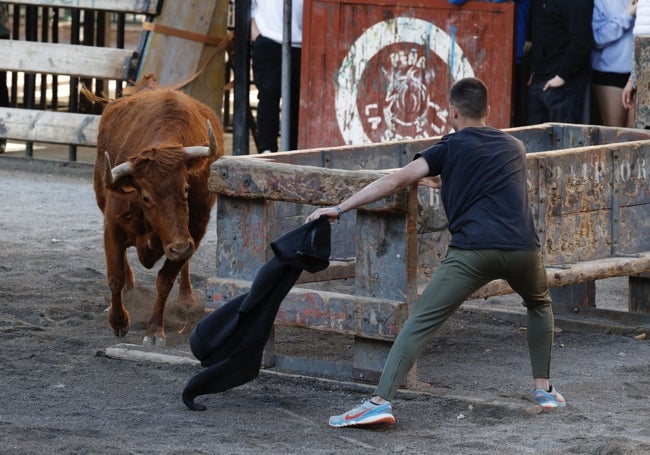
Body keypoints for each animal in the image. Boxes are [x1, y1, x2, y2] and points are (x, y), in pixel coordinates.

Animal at [91, 76, 223, 346]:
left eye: (186, 188)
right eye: (145, 197)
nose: (180, 247)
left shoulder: (194, 232)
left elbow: (165, 279)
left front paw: (153, 331)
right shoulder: (112, 224)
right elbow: (115, 275)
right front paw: (118, 321)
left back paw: (186, 299)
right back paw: (129, 290)